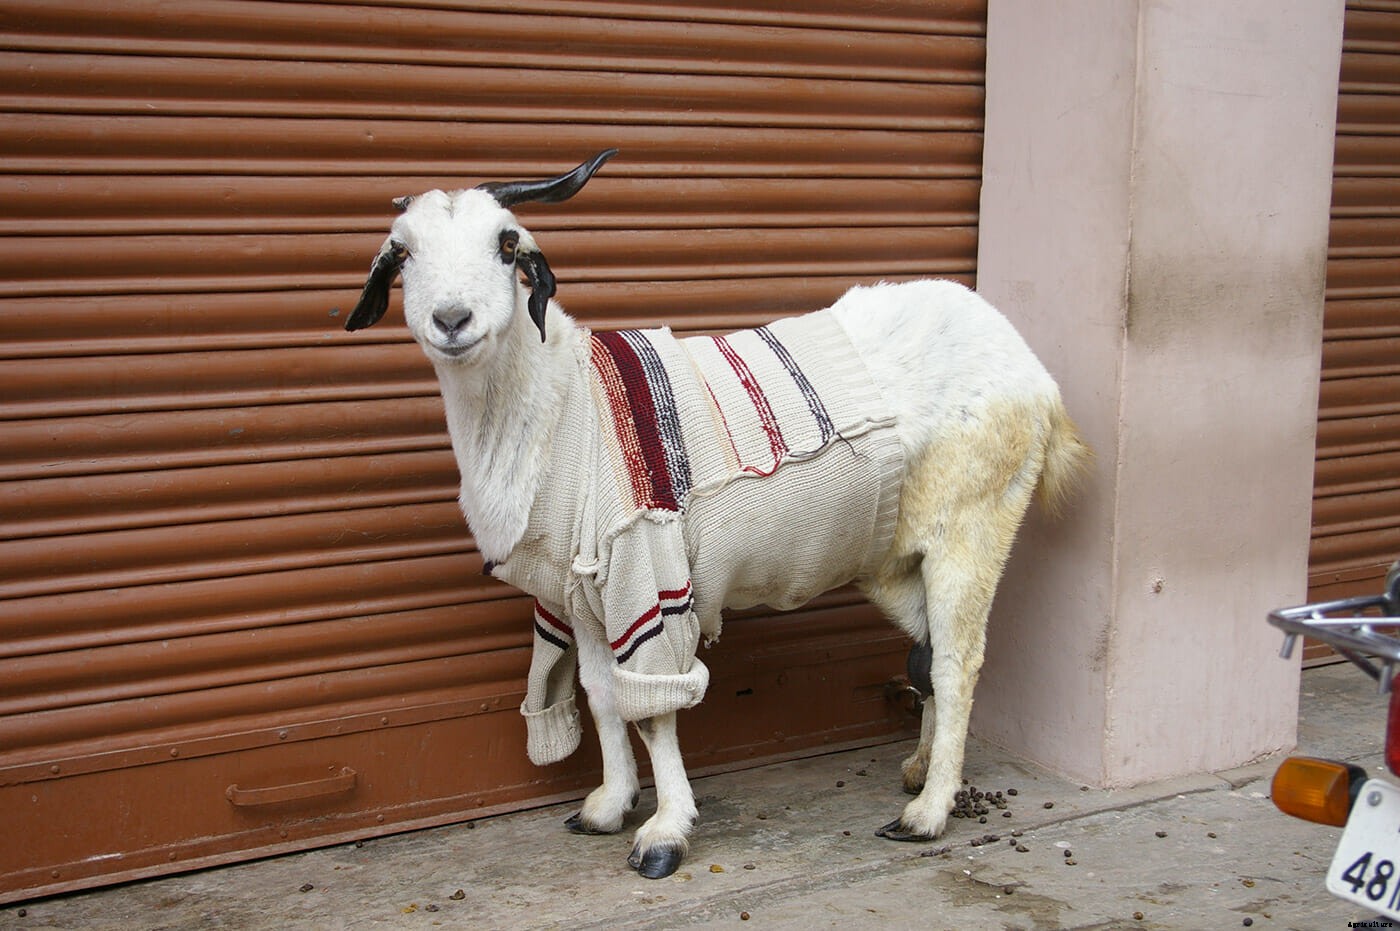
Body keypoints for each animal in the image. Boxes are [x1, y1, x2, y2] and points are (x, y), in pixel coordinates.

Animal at [341, 150, 1090, 879]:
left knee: (958, 661)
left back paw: (927, 814)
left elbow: (654, 711)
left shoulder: (645, 574)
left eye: (505, 244)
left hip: (974, 523)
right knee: (927, 650)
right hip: (894, 555)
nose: (452, 320)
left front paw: (663, 836)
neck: (562, 404)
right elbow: (602, 695)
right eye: (403, 253)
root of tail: (1035, 373)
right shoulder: (583, 597)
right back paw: (918, 770)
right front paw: (607, 806)